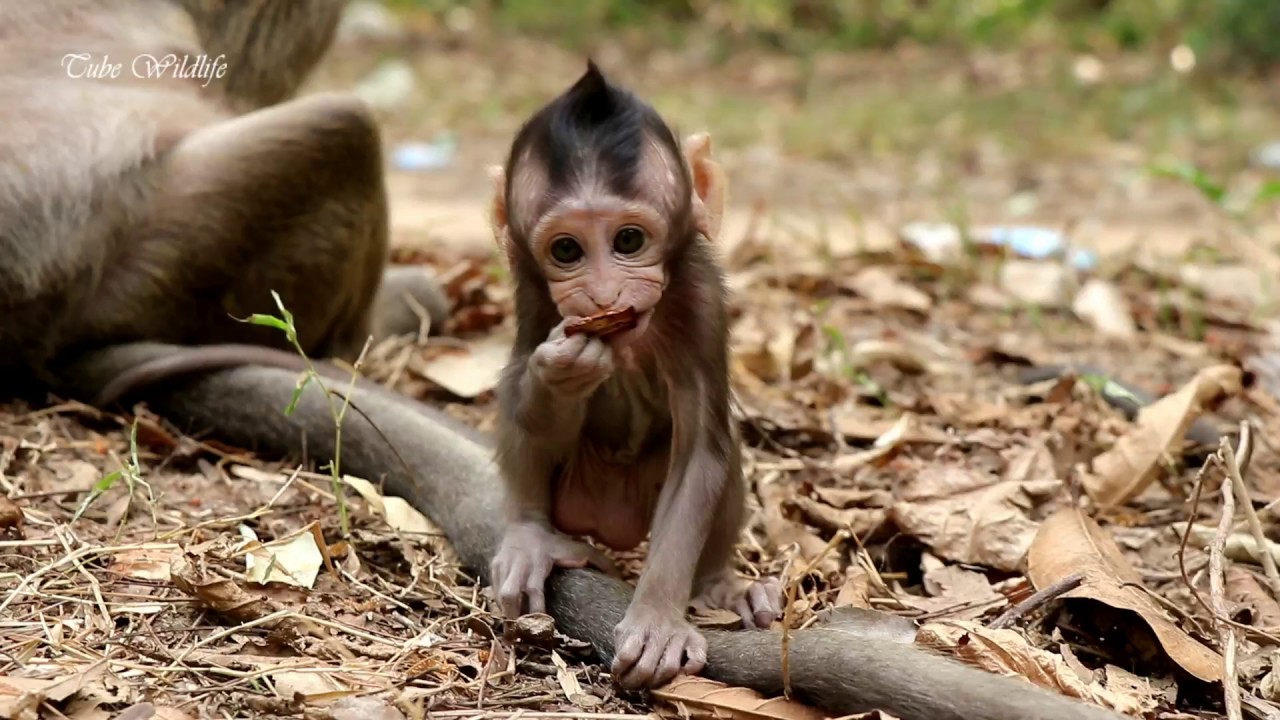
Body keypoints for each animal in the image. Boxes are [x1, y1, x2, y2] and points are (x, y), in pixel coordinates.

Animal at [485, 63, 783, 690]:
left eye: (628, 240)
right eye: (566, 250)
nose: (603, 296)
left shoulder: (700, 299)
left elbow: (702, 452)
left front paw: (657, 622)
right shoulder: (533, 292)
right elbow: (523, 376)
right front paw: (560, 373)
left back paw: (721, 587)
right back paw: (530, 536)